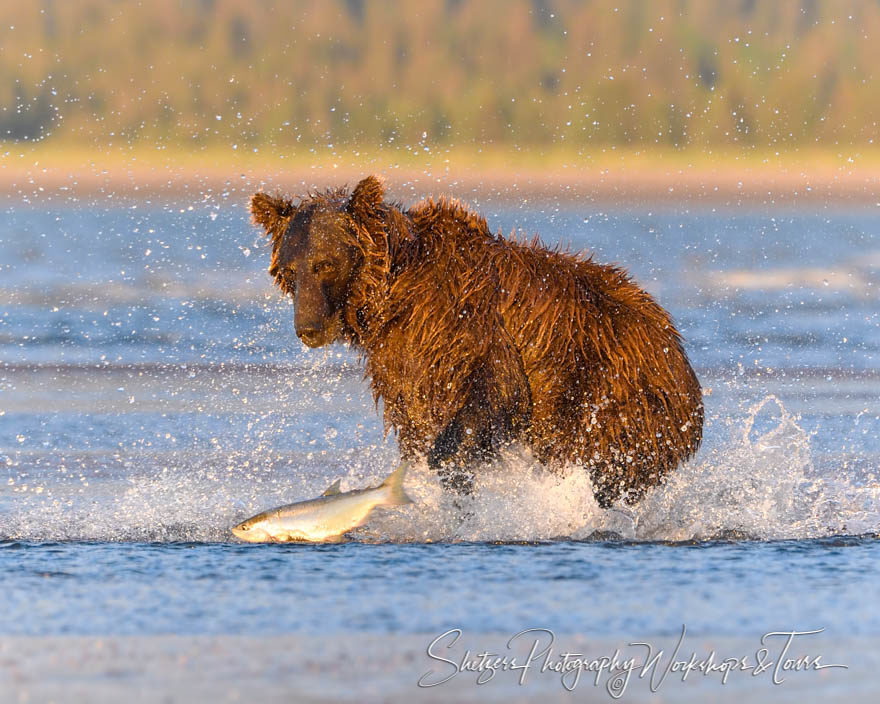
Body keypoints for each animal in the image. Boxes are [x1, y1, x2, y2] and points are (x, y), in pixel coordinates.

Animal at [251, 175, 704, 506]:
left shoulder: (465, 326)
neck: (394, 294)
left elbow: (493, 392)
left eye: (324, 264)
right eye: (288, 270)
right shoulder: (399, 362)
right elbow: (417, 419)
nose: (308, 327)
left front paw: (448, 466)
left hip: (612, 395)